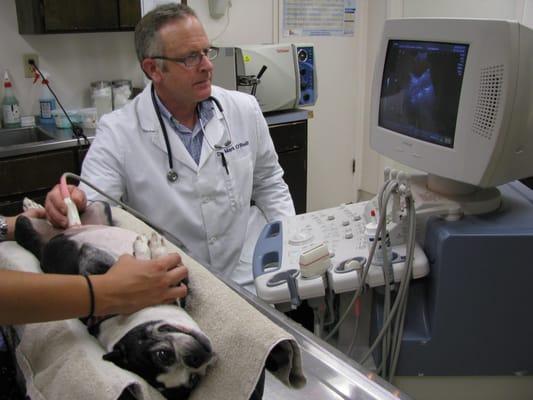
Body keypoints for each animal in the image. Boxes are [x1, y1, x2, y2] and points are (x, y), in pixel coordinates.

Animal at [14, 202, 214, 398]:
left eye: (194, 379)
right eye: (163, 355)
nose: (196, 358)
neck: (122, 321)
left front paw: (153, 248)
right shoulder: (98, 267)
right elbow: (146, 266)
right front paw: (148, 249)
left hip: (99, 206)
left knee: (72, 220)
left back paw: (39, 206)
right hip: (26, 227)